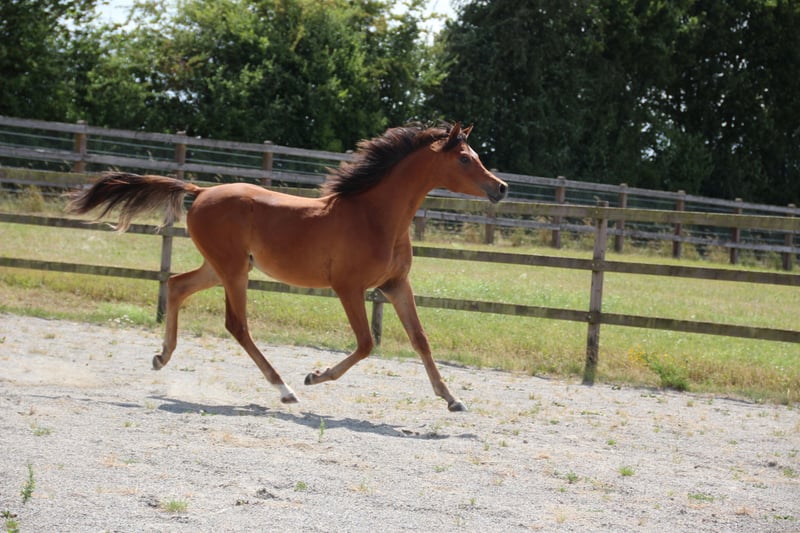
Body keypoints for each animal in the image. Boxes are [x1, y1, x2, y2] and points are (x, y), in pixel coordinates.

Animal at [67, 122, 508, 411]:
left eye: (476, 156)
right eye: (465, 159)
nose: (501, 188)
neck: (375, 216)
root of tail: (202, 190)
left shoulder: (397, 285)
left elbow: (420, 340)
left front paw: (452, 398)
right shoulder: (348, 288)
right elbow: (366, 344)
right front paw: (315, 376)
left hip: (221, 266)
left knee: (176, 285)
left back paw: (162, 357)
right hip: (232, 271)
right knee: (237, 325)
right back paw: (284, 389)